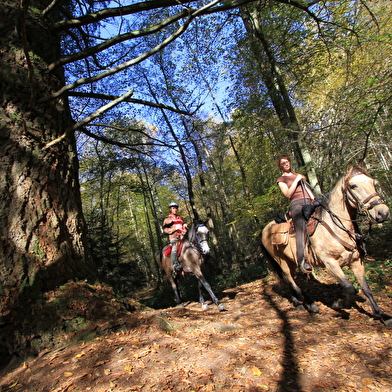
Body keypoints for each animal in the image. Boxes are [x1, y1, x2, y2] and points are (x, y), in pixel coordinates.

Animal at [262, 164, 390, 326]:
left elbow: (366, 289)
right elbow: (349, 288)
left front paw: (382, 315)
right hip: (281, 261)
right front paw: (339, 304)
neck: (336, 226)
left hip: (290, 261)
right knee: (290, 281)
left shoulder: (356, 261)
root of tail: (264, 230)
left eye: (372, 182)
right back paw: (310, 304)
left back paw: (298, 302)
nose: (383, 212)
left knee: (288, 281)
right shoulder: (330, 262)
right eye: (353, 186)